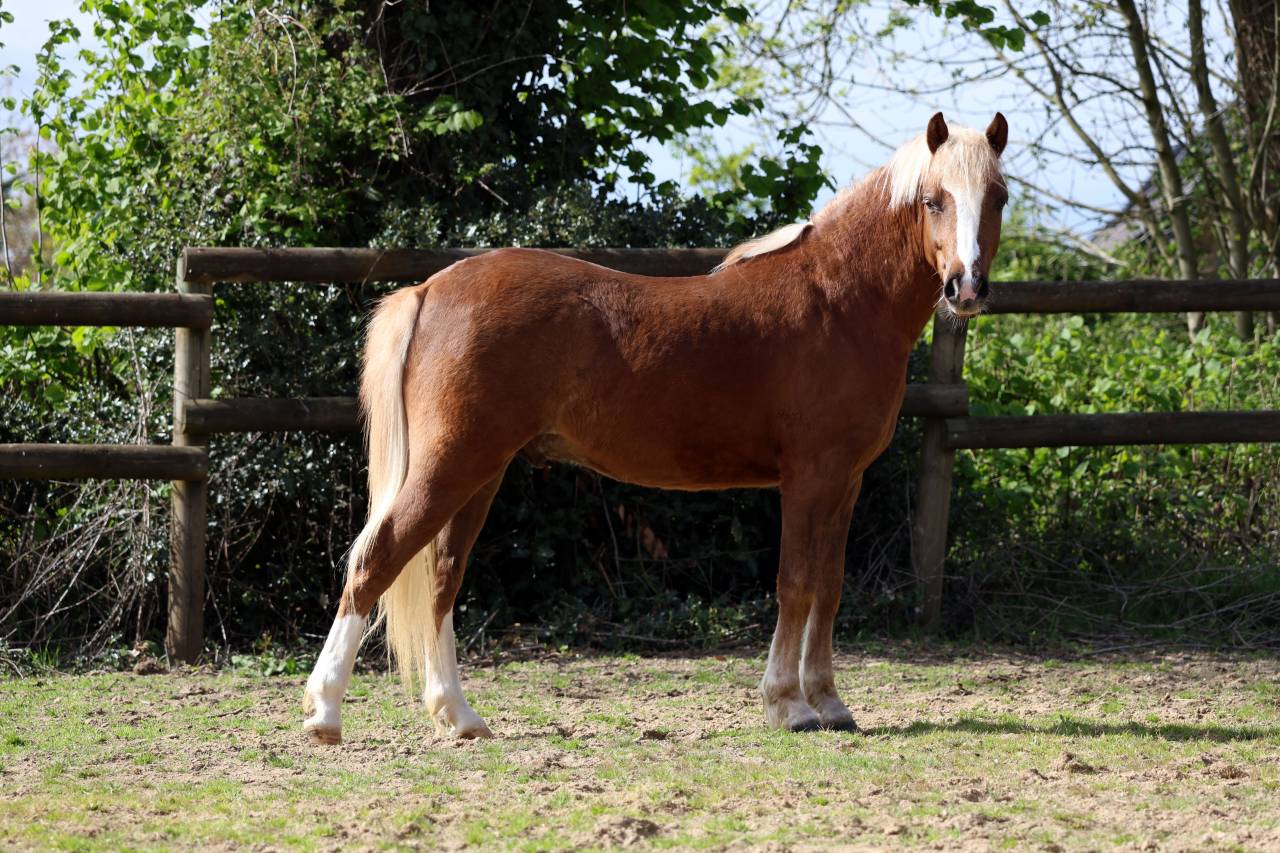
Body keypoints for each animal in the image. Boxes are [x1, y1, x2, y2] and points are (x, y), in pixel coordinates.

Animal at [302, 112, 1009, 743]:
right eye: (933, 200)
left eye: (997, 197)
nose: (966, 287)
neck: (838, 299)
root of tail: (428, 289)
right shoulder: (810, 477)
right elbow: (796, 584)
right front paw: (789, 706)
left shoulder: (845, 482)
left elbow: (829, 588)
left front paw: (830, 703)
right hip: (452, 465)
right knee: (377, 559)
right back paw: (326, 714)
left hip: (480, 472)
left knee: (443, 576)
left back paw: (460, 716)